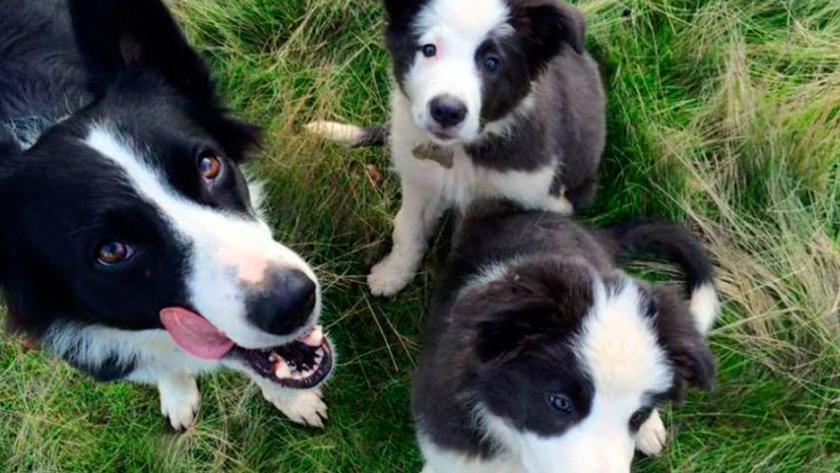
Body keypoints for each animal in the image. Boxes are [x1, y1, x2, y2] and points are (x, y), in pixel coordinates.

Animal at [308, 0, 604, 296]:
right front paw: (394, 273)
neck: (459, 151)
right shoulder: (420, 177)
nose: (447, 111)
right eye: (429, 49)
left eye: (492, 63)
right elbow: (409, 229)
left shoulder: (538, 200)